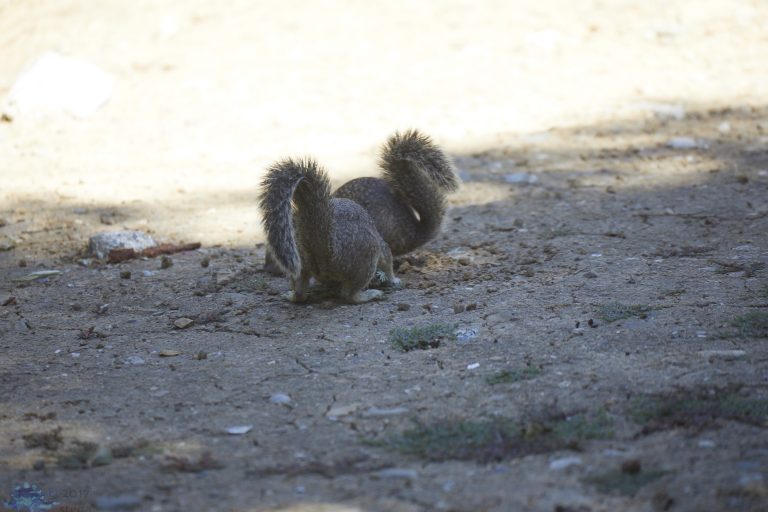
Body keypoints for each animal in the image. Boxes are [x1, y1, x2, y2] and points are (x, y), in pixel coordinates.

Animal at [258, 157, 400, 303]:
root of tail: (325, 253)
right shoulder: (380, 240)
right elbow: (387, 259)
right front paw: (393, 279)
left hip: (301, 263)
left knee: (300, 291)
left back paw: (292, 296)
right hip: (366, 256)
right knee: (349, 295)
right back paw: (368, 295)